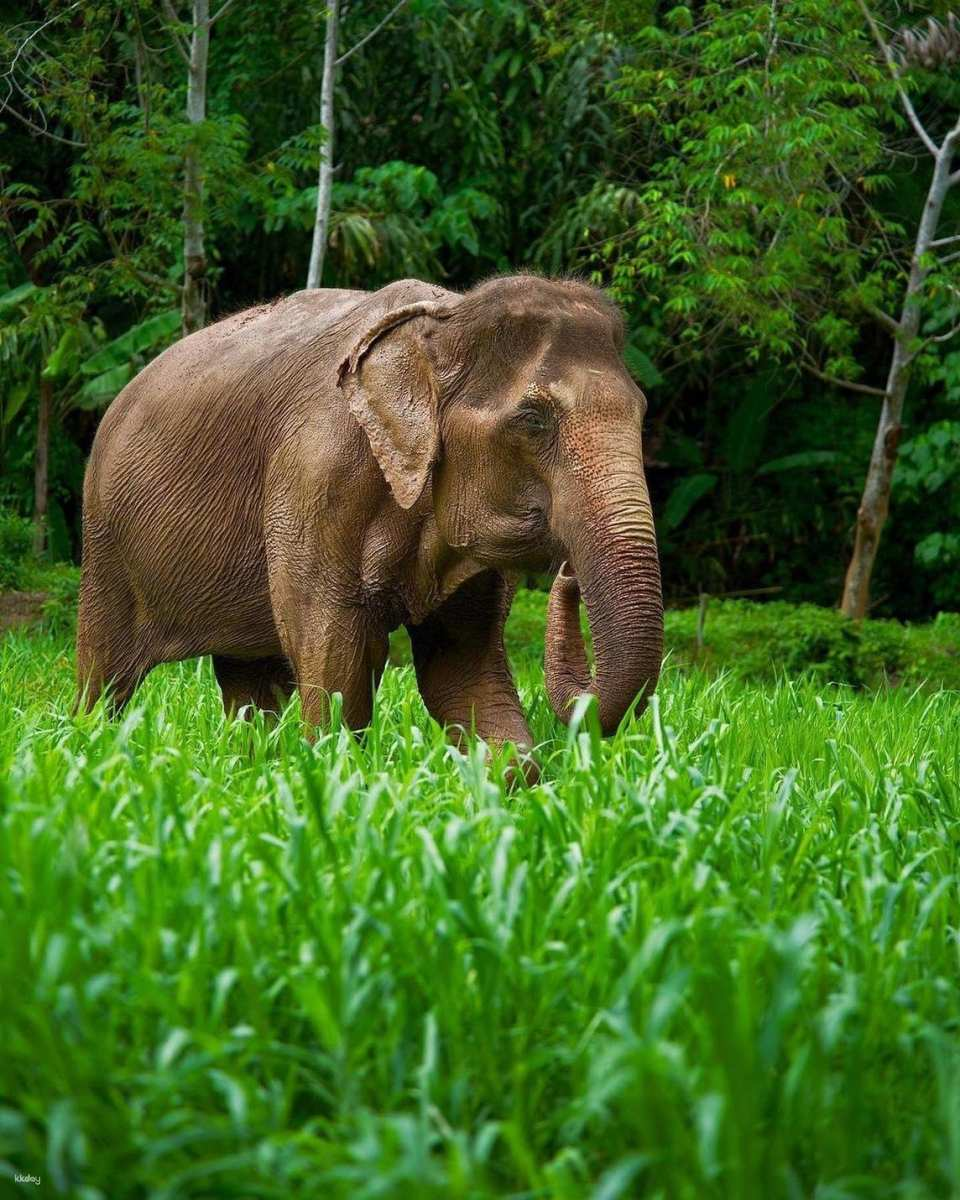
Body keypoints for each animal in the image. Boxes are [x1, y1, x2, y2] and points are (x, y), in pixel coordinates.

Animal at [76, 275, 663, 761]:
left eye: (642, 413)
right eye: (533, 419)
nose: (568, 574)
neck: (445, 319)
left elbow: (463, 665)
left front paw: (512, 776)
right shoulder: (314, 476)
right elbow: (335, 651)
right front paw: (334, 769)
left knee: (248, 680)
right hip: (103, 534)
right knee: (106, 672)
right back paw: (92, 744)